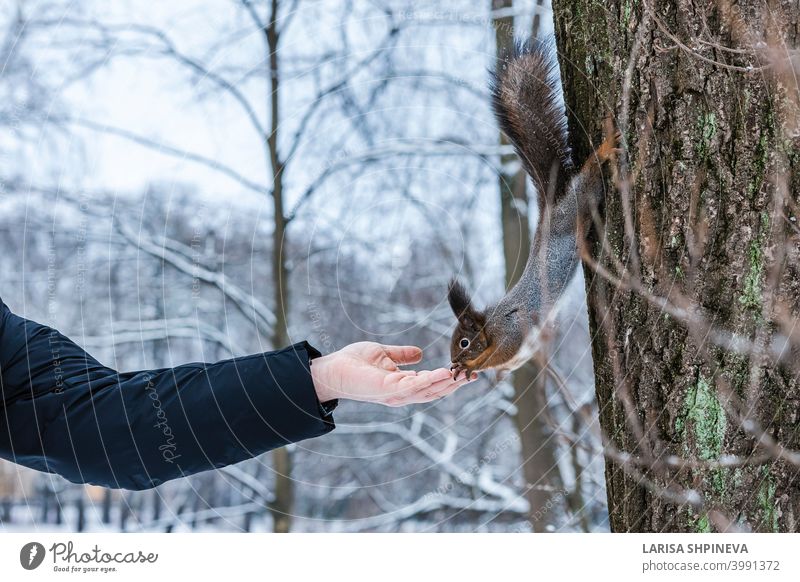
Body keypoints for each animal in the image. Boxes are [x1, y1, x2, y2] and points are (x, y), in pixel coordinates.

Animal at [446, 37, 616, 384]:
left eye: (465, 342)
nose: (453, 360)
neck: (490, 328)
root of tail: (552, 209)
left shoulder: (511, 331)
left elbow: (503, 351)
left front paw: (471, 366)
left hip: (576, 207)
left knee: (588, 181)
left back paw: (603, 152)